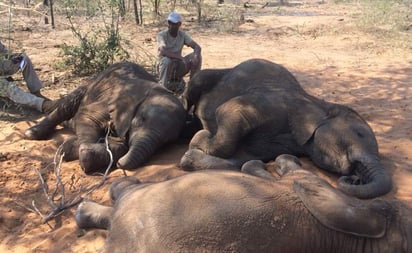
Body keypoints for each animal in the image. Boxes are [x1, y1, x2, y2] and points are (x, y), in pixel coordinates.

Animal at [25, 61, 187, 174]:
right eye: (140, 120)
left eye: (166, 142)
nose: (120, 164)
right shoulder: (110, 101)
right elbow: (87, 117)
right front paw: (75, 152)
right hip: (89, 85)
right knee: (68, 105)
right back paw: (31, 133)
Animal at [181, 58, 392, 199]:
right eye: (359, 134)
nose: (356, 179)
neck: (318, 104)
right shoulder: (276, 103)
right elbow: (228, 111)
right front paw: (199, 137)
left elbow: (242, 158)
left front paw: (192, 155)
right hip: (206, 77)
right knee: (194, 87)